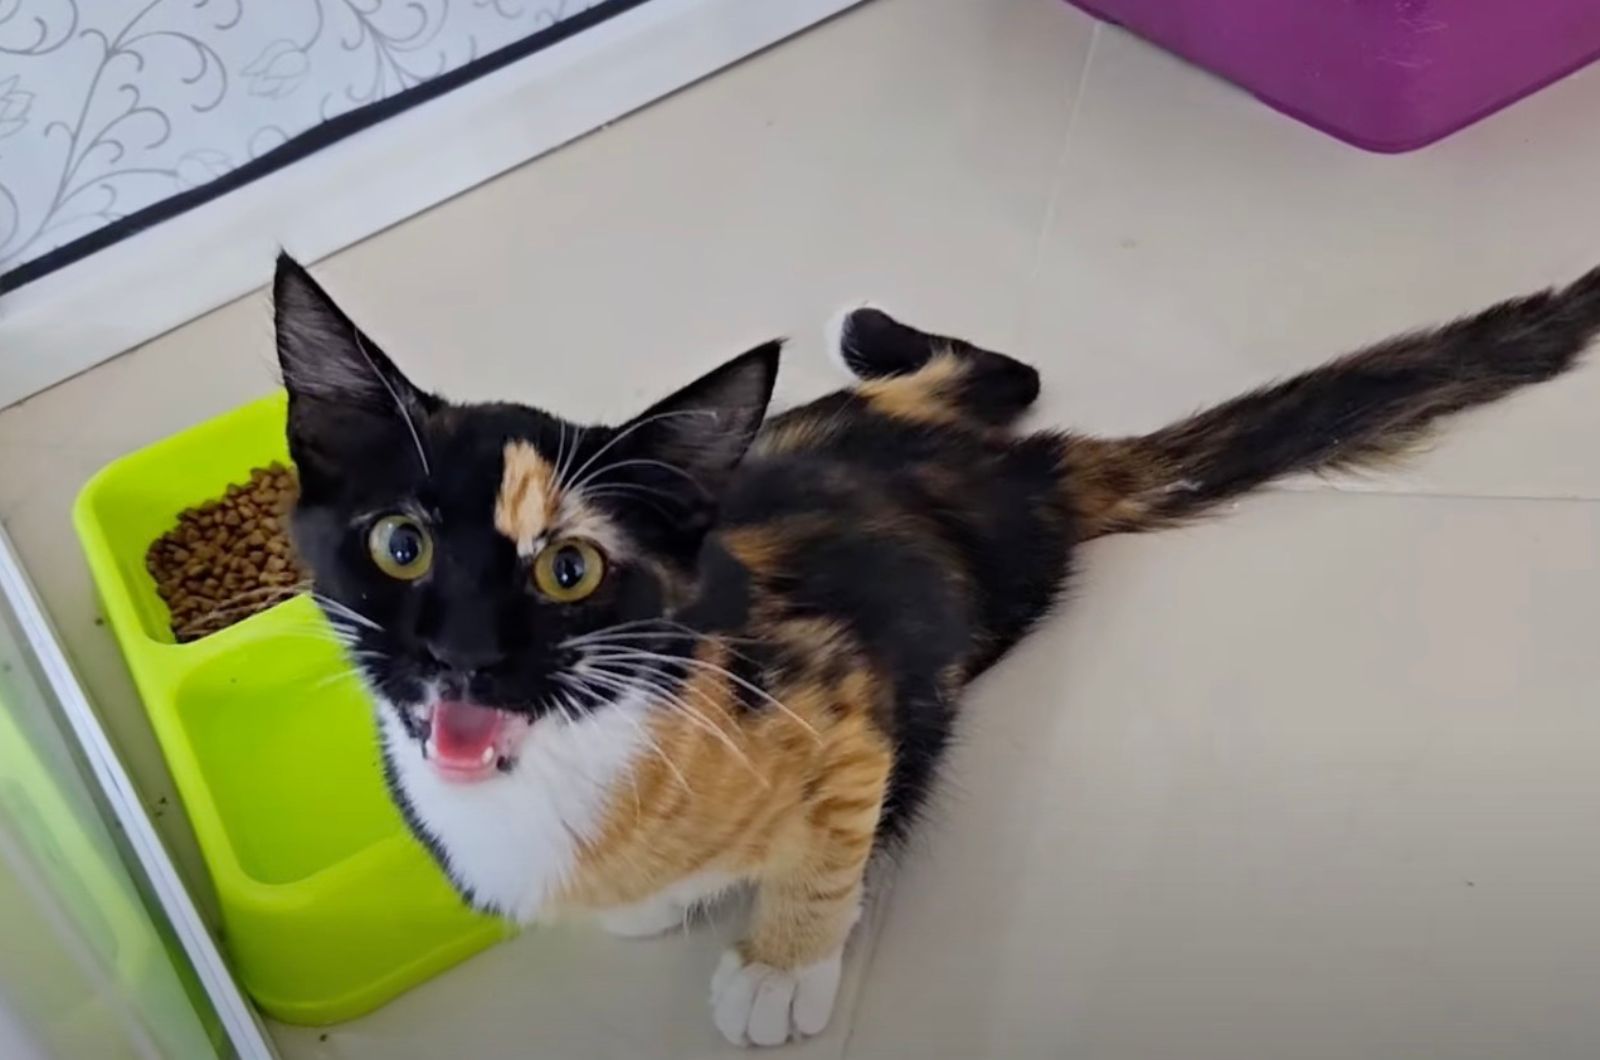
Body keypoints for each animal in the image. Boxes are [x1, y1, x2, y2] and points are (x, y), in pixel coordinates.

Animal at [275, 256, 1600, 1043]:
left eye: (569, 571)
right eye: (399, 544)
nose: (461, 655)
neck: (552, 764)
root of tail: (1030, 469)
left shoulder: (842, 709)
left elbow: (827, 856)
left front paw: (779, 970)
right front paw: (662, 907)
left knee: (1000, 370)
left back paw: (867, 326)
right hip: (856, 422)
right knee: (986, 368)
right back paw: (872, 331)